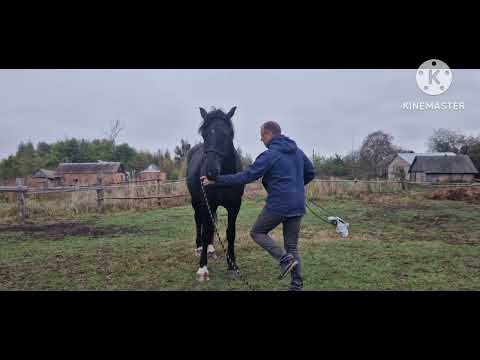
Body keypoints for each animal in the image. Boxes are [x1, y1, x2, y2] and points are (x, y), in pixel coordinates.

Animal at [187, 105, 246, 280]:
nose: (210, 172)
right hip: (196, 201)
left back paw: (211, 248)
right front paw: (202, 268)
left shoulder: (235, 206)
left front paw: (232, 265)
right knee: (198, 221)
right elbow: (206, 231)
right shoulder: (207, 203)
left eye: (227, 134)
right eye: (204, 134)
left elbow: (230, 233)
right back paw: (200, 247)